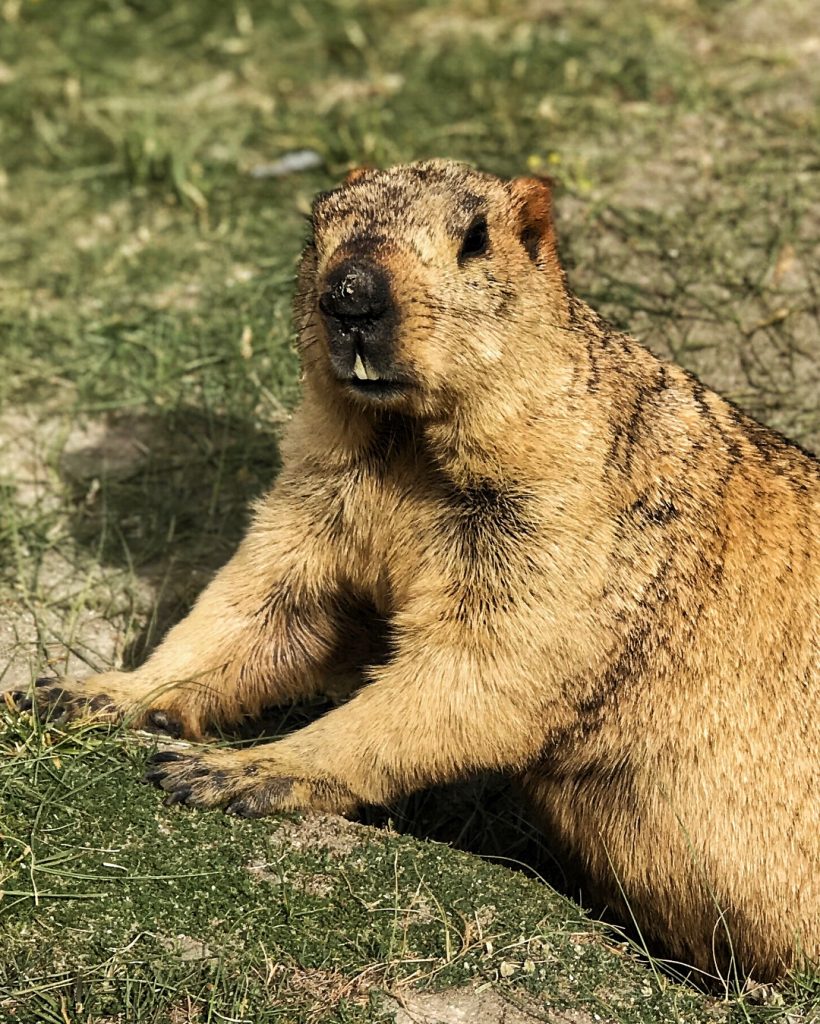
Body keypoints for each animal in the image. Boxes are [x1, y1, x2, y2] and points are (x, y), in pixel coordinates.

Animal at [9, 160, 818, 982]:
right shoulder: (318, 490)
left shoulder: (560, 521)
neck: (407, 447)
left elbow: (481, 664)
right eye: (318, 223)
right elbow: (265, 598)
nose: (350, 292)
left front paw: (238, 769)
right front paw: (85, 692)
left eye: (475, 238)